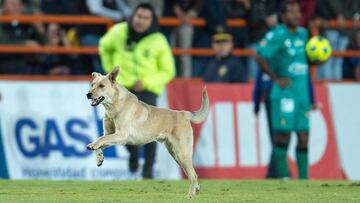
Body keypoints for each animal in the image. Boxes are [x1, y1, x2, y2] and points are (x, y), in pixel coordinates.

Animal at [85, 66, 208, 198]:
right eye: (92, 84)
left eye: (101, 86)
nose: (88, 94)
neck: (114, 107)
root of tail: (183, 113)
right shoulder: (110, 134)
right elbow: (101, 141)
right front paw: (99, 158)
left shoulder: (121, 135)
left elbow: (100, 139)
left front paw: (92, 145)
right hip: (175, 154)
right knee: (192, 174)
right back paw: (196, 189)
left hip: (182, 153)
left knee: (193, 175)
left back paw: (190, 195)